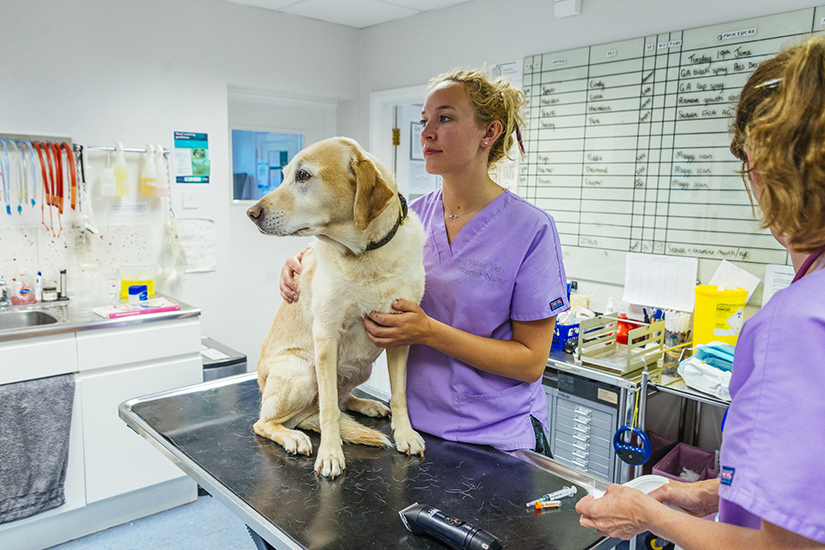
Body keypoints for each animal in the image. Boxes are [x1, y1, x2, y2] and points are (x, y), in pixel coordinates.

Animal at [245, 137, 424, 478]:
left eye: (302, 175)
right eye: (284, 175)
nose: (251, 212)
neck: (366, 256)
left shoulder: (400, 334)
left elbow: (401, 395)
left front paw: (406, 434)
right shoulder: (326, 338)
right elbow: (327, 408)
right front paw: (330, 454)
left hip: (360, 367)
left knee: (338, 402)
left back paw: (366, 404)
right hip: (303, 370)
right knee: (267, 422)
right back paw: (293, 436)